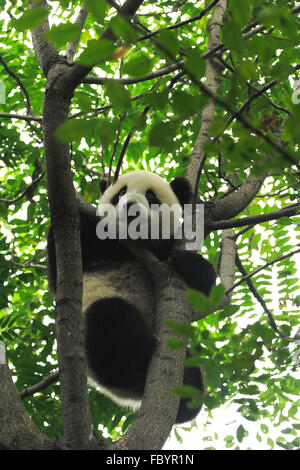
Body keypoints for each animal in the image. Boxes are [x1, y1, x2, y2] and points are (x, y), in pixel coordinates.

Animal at [47, 171, 216, 424]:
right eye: (120, 194)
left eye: (151, 196)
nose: (131, 207)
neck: (133, 246)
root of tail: (129, 395)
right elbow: (57, 273)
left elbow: (205, 294)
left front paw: (190, 264)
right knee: (111, 322)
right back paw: (140, 354)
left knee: (194, 378)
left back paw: (186, 396)